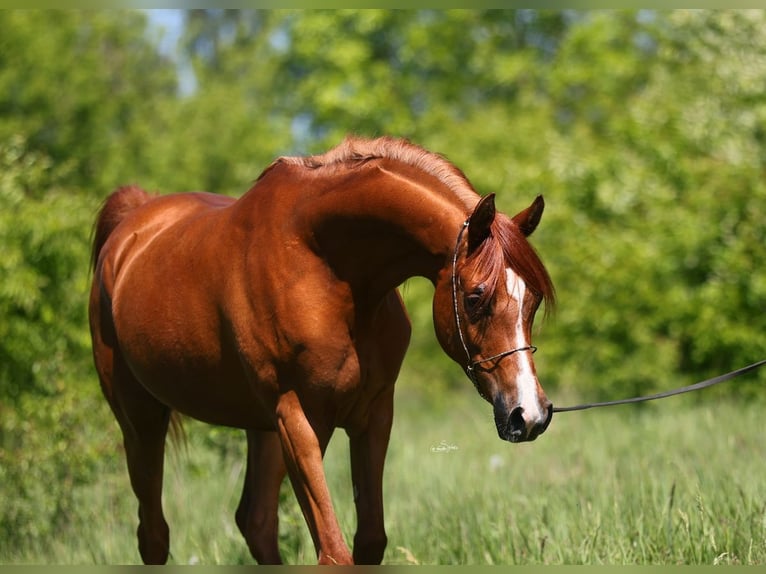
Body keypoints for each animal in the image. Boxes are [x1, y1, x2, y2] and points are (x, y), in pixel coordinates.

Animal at [88, 135, 556, 565]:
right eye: (476, 298)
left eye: (533, 300)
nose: (529, 414)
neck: (325, 263)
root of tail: (131, 226)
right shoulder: (298, 419)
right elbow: (334, 554)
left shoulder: (372, 416)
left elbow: (369, 542)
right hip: (141, 420)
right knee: (154, 533)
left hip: (261, 429)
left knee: (256, 522)